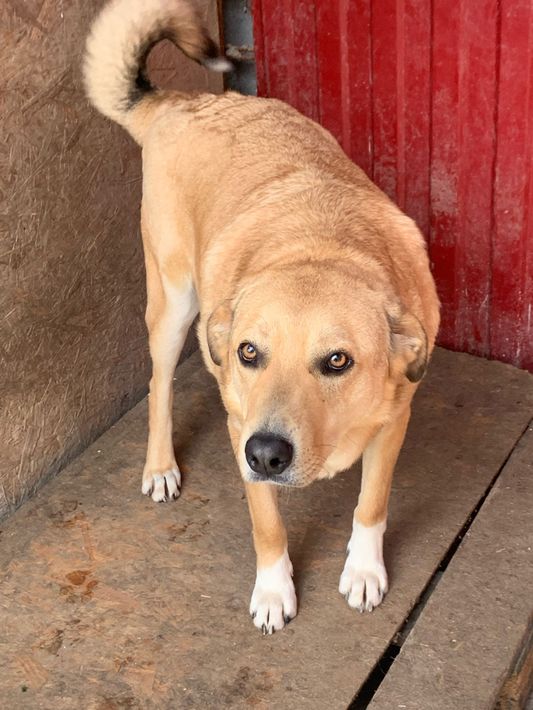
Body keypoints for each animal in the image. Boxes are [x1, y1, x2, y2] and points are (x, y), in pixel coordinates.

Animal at [83, 0, 440, 634]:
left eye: (338, 360)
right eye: (249, 352)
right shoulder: (238, 427)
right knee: (159, 383)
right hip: (173, 303)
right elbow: (267, 524)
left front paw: (364, 570)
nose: (267, 455)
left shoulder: (395, 419)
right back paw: (160, 466)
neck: (322, 244)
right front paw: (274, 591)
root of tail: (180, 102)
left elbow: (372, 503)